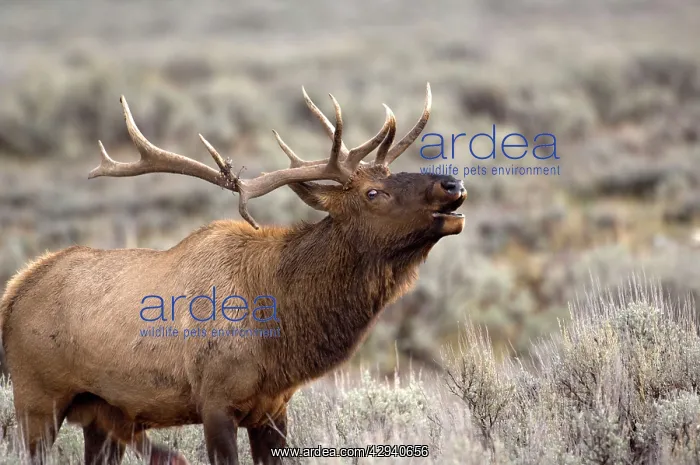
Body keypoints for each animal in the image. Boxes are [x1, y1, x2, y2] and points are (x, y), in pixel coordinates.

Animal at [0, 82, 466, 465]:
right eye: (373, 192)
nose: (453, 185)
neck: (280, 330)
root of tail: (15, 289)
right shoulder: (215, 401)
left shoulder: (274, 408)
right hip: (36, 397)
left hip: (102, 411)